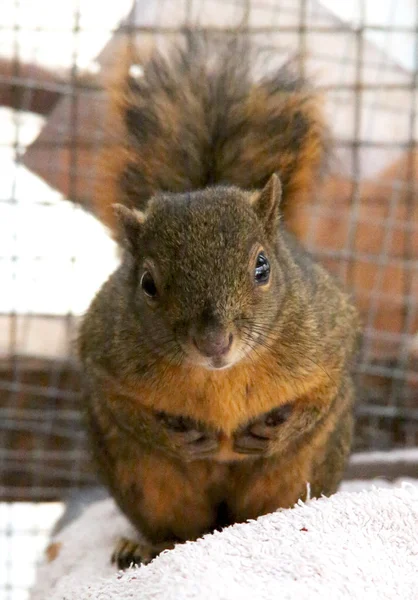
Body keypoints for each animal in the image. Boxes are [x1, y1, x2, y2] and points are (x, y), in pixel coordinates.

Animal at [78, 35, 360, 568]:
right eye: (146, 283)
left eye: (262, 267)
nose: (213, 342)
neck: (219, 378)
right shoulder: (102, 357)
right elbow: (124, 408)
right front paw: (179, 436)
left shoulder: (331, 339)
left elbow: (321, 396)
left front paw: (276, 432)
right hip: (148, 482)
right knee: (180, 530)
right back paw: (145, 546)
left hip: (299, 472)